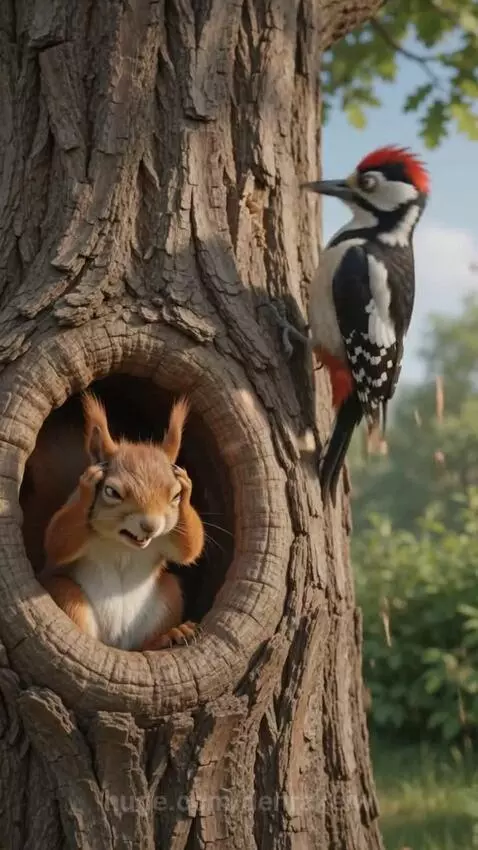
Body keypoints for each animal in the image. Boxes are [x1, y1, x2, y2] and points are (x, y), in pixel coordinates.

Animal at [39, 393, 205, 652]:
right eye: (111, 492)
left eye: (175, 495)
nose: (150, 526)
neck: (124, 546)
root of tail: (117, 642)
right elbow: (58, 541)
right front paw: (89, 483)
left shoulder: (164, 541)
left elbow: (189, 548)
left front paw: (187, 485)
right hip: (67, 596)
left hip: (168, 595)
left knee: (143, 645)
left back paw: (169, 636)